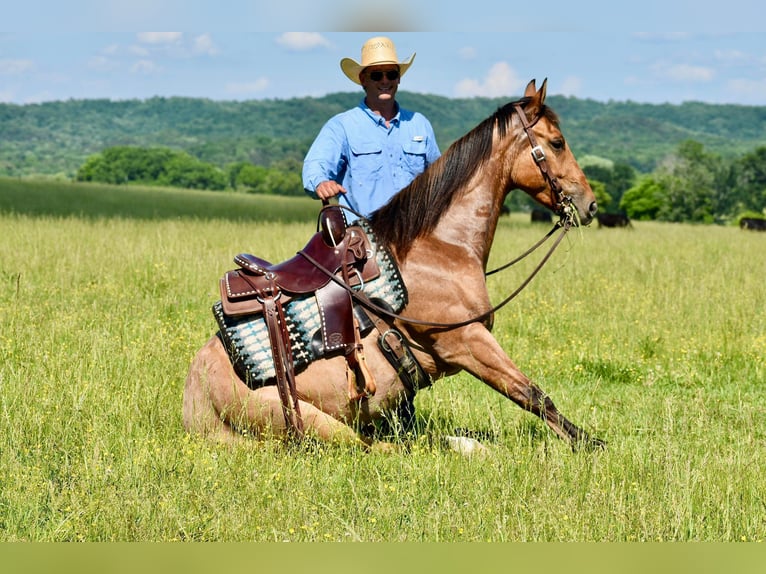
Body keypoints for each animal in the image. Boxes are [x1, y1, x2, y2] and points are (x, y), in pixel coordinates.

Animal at [184, 77, 608, 454]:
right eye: (557, 142)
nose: (589, 204)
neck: (442, 249)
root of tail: (194, 400)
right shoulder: (468, 342)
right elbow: (532, 393)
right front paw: (591, 444)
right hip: (318, 423)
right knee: (376, 448)